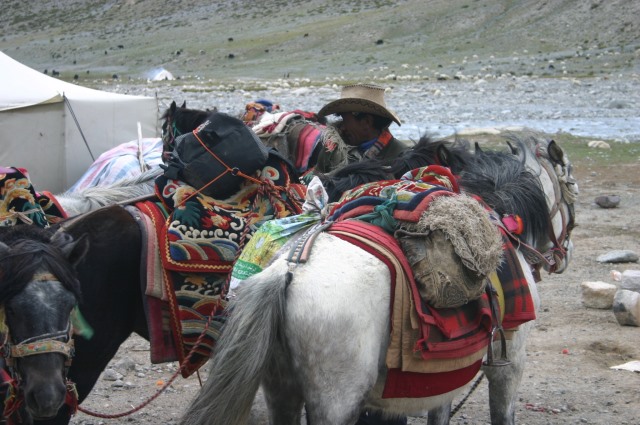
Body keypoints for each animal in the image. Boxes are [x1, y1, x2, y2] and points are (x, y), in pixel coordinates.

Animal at [181, 132, 580, 424]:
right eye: (573, 186)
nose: (565, 256)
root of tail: (289, 272)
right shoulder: (509, 362)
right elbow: (502, 413)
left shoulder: (449, 371)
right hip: (335, 401)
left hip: (282, 390)